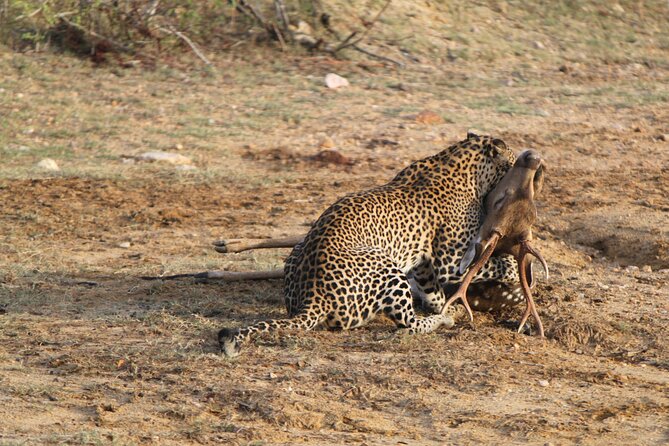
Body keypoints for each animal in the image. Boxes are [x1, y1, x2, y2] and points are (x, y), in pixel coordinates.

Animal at [219, 131, 520, 358]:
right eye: (514, 159)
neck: (461, 161)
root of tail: (312, 298)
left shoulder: (424, 261)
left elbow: (432, 291)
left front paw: (442, 303)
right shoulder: (451, 258)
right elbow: (496, 264)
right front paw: (515, 271)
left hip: (297, 250)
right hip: (387, 266)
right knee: (408, 324)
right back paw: (446, 318)